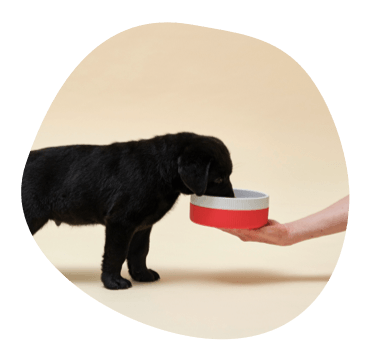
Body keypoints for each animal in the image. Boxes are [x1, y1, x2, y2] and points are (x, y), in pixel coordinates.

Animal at [21, 132, 233, 290]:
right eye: (218, 179)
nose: (232, 199)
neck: (160, 169)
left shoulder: (142, 226)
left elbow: (139, 252)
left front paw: (142, 274)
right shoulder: (120, 223)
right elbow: (116, 253)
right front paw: (113, 281)